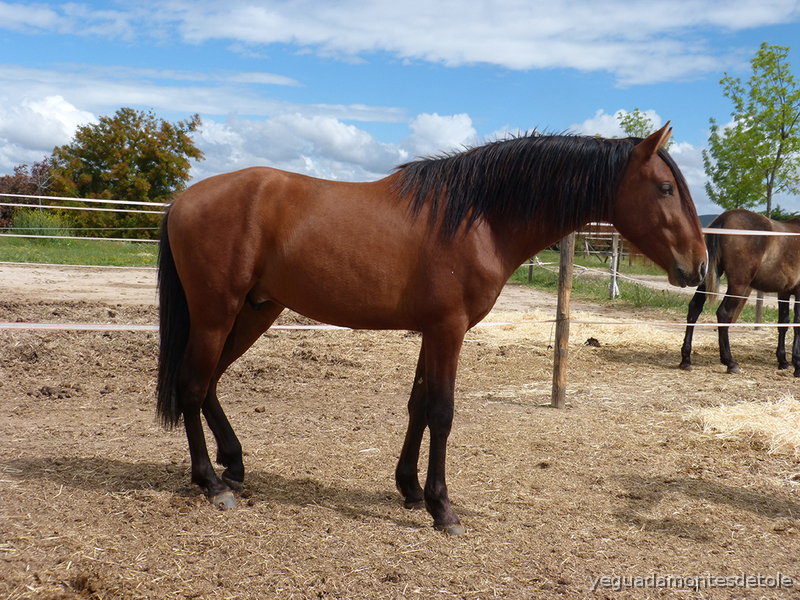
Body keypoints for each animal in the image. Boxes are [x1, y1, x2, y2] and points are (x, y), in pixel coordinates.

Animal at [157, 123, 707, 535]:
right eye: (665, 188)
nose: (699, 266)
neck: (479, 217)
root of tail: (183, 199)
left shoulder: (431, 331)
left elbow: (418, 406)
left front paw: (410, 489)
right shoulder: (448, 329)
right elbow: (441, 413)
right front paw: (443, 508)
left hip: (253, 312)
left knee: (209, 382)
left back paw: (233, 465)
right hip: (217, 313)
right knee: (192, 385)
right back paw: (212, 483)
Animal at [679, 209, 800, 376]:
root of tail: (725, 218)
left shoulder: (784, 292)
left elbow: (784, 323)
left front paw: (783, 361)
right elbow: (797, 325)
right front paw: (796, 364)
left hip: (707, 275)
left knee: (695, 307)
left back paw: (686, 360)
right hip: (738, 285)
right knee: (724, 313)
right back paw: (730, 362)